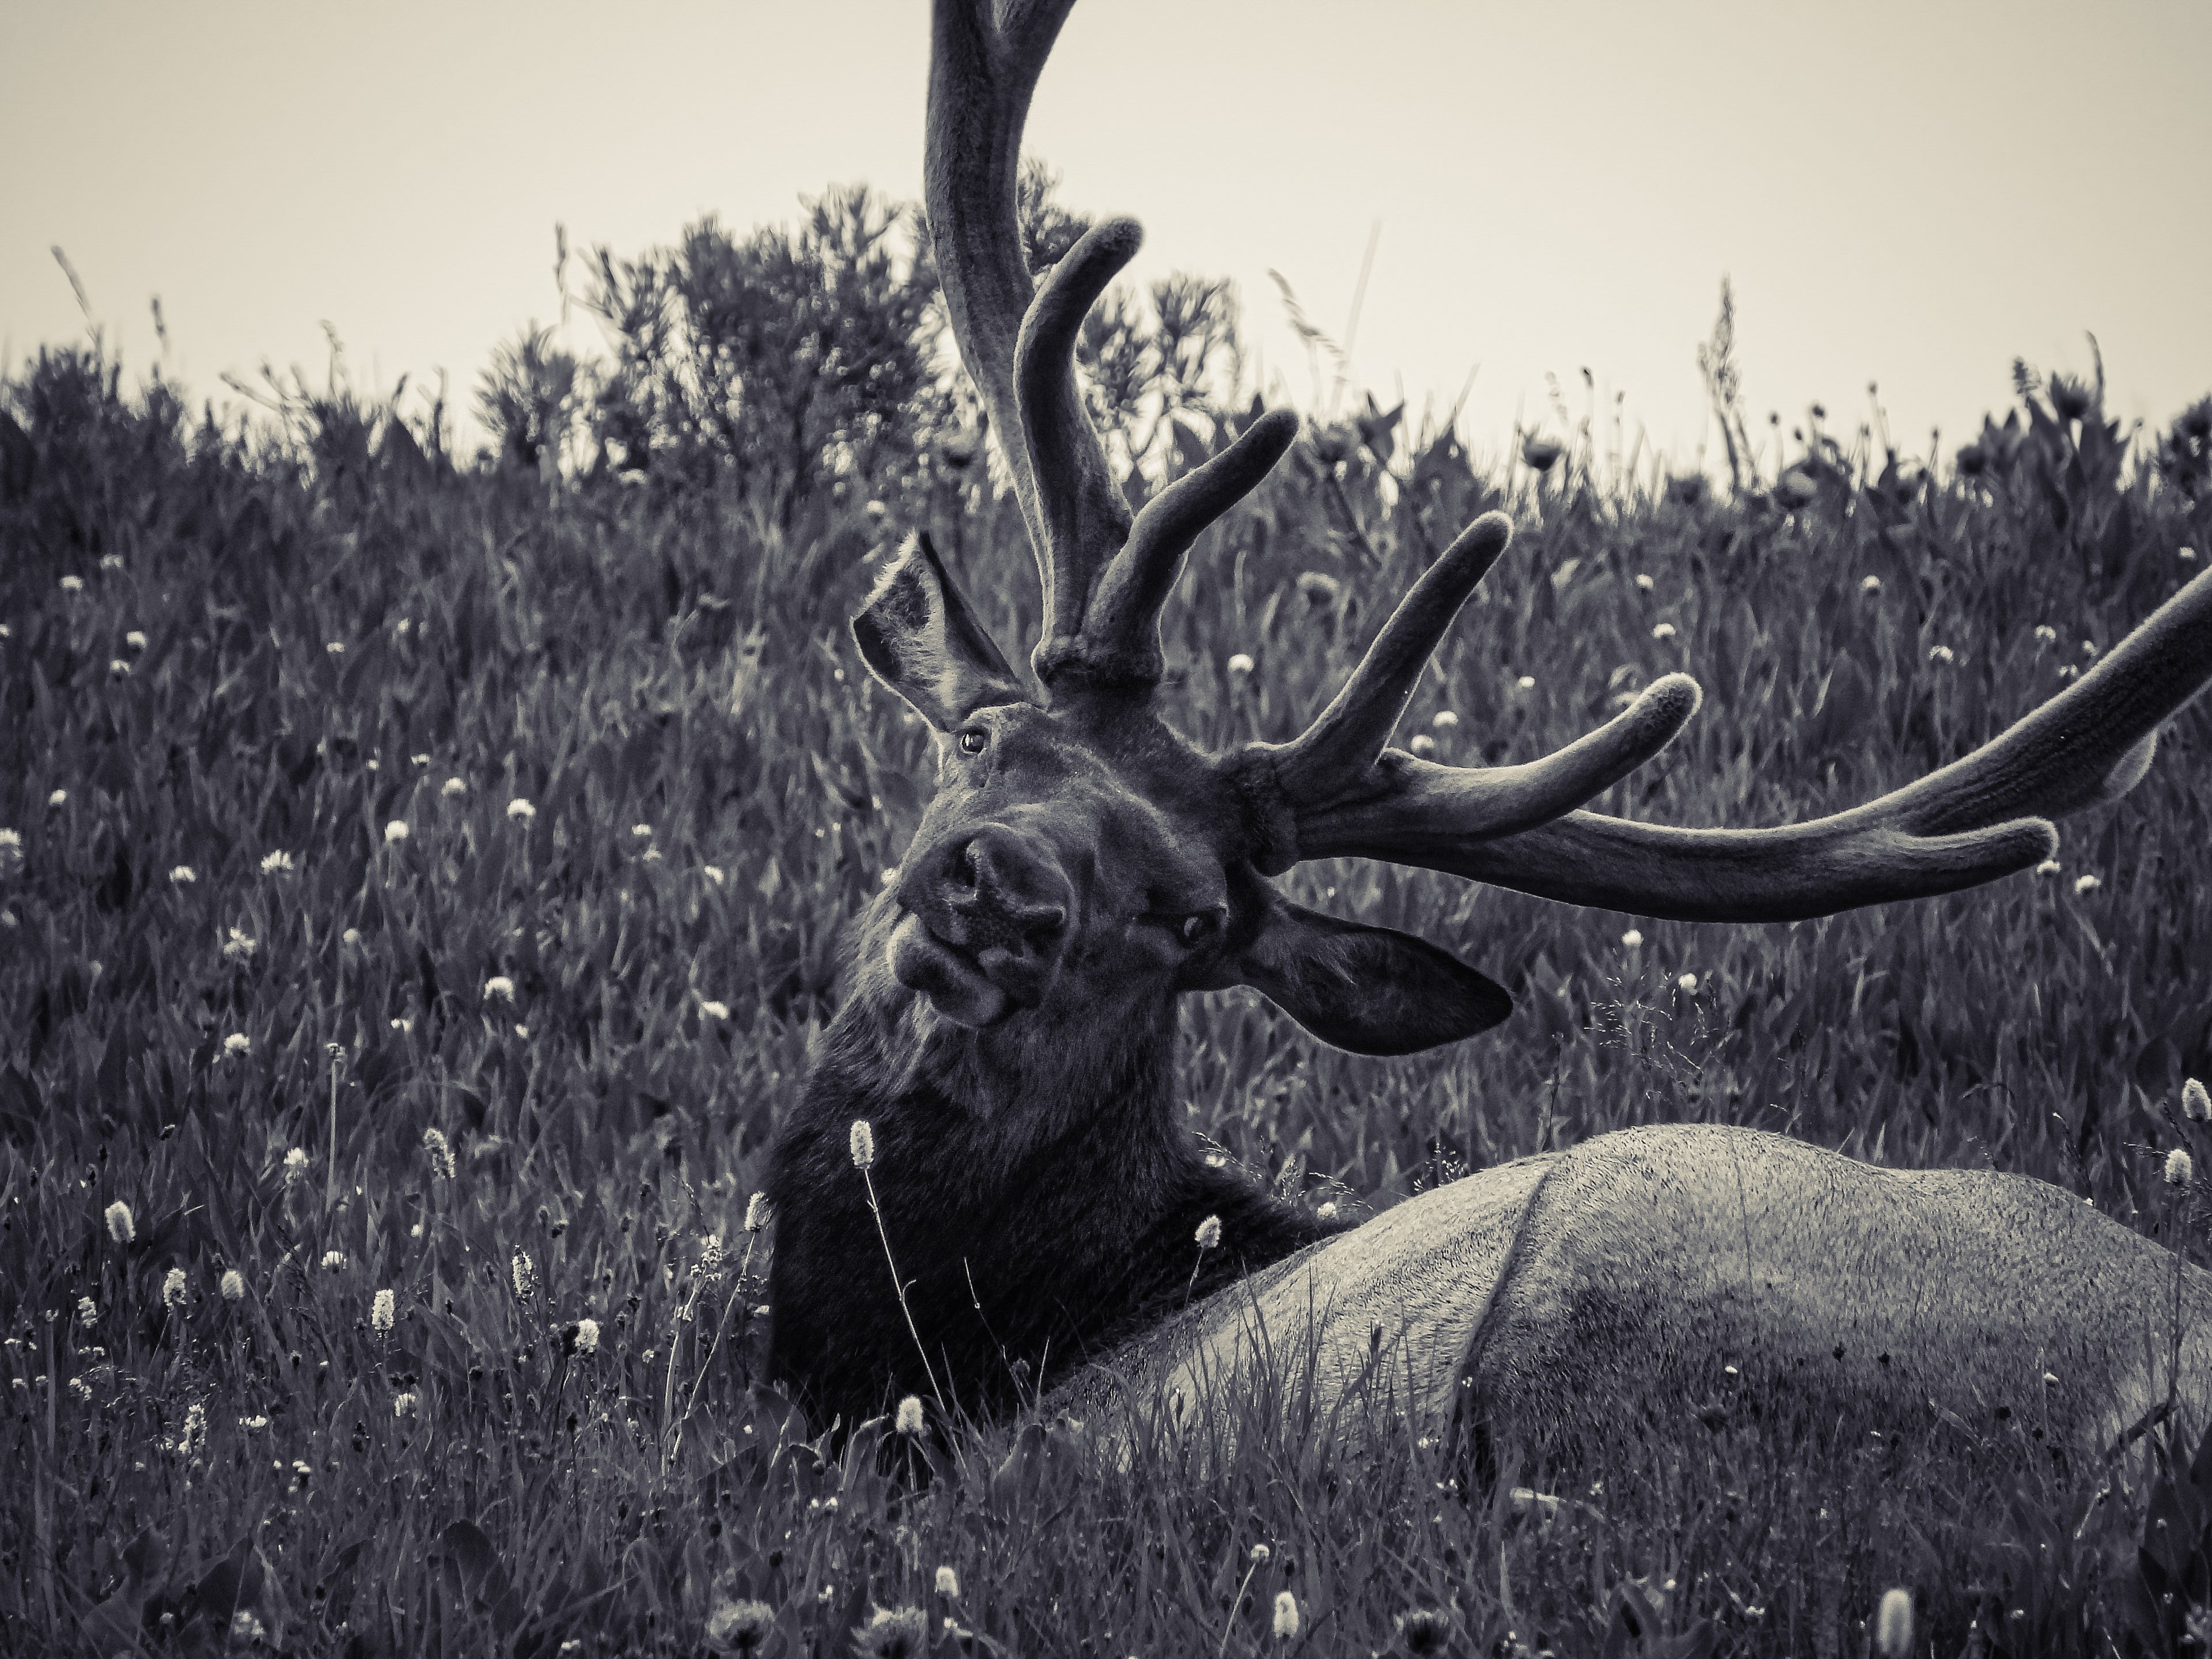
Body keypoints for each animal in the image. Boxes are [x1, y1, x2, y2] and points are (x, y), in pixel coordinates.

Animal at [762, 0, 2212, 1474]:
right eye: (981, 737)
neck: (991, 1343)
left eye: (1194, 921)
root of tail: (2172, 1369)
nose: (997, 891)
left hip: (1602, 1304)